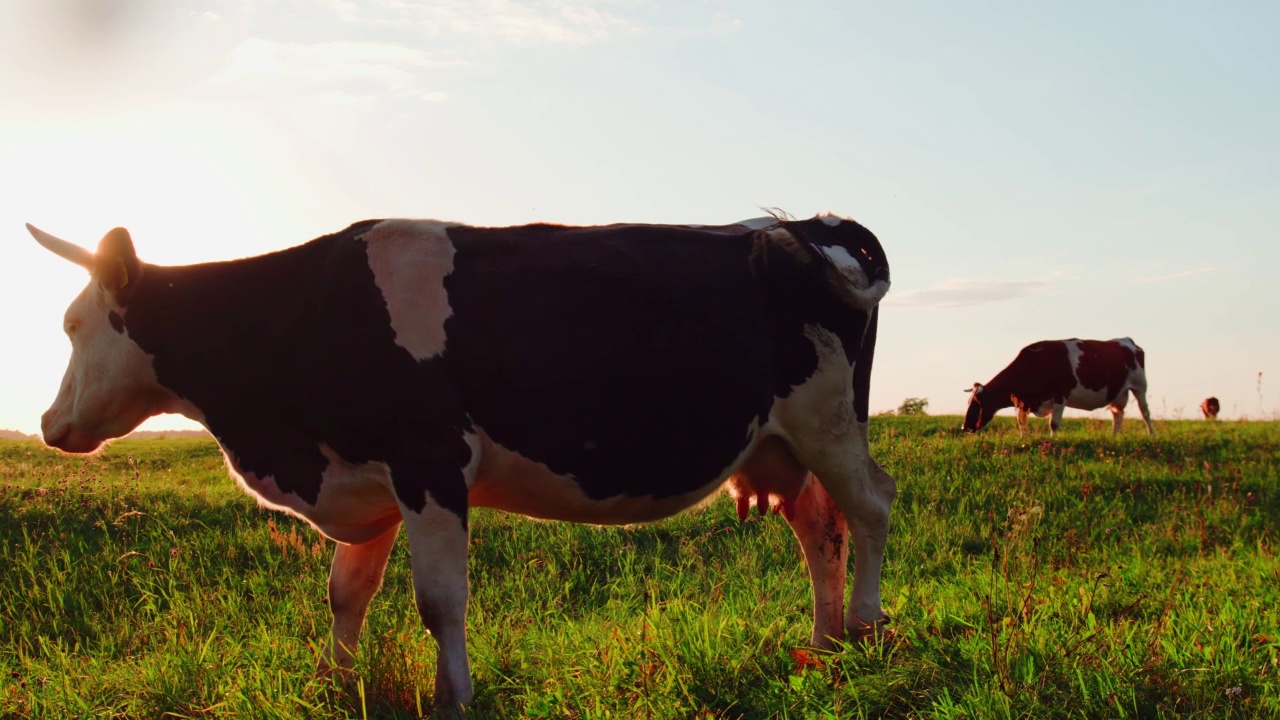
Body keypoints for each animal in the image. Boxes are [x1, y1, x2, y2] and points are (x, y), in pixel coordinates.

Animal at [27, 211, 890, 707]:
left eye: (73, 324)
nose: (46, 423)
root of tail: (806, 223)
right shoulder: (368, 478)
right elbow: (346, 593)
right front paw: (334, 682)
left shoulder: (430, 465)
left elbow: (439, 601)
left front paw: (456, 696)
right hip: (781, 440)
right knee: (820, 528)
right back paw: (824, 642)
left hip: (828, 419)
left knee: (871, 506)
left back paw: (866, 623)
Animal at [962, 338, 1157, 435]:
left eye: (978, 404)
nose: (964, 427)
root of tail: (1127, 341)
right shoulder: (1023, 401)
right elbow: (1021, 423)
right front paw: (1025, 440)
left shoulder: (1060, 396)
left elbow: (1054, 424)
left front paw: (1052, 441)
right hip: (1117, 393)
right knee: (1118, 416)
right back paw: (1112, 438)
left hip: (1140, 386)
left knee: (1145, 413)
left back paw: (1151, 435)